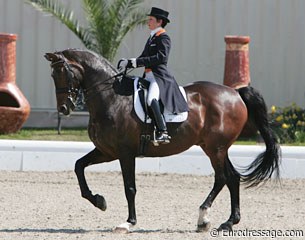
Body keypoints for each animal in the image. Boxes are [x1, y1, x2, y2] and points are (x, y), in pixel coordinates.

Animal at [44, 48, 280, 232]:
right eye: (53, 75)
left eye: (63, 73)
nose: (64, 108)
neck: (111, 98)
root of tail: (235, 93)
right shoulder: (107, 151)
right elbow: (78, 166)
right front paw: (99, 201)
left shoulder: (125, 153)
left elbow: (129, 187)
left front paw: (128, 222)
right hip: (216, 147)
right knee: (232, 178)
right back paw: (229, 222)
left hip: (216, 149)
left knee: (221, 178)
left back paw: (203, 217)